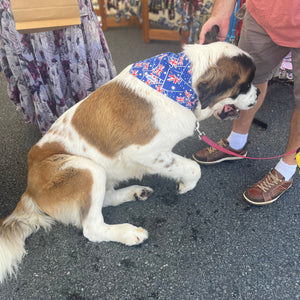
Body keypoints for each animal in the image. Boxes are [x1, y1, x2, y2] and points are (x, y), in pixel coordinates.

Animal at [0, 41, 258, 282]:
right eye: (245, 85)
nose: (257, 94)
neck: (181, 80)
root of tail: (29, 188)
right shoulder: (144, 152)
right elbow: (192, 167)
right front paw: (187, 184)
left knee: (105, 199)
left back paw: (135, 192)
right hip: (86, 168)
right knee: (92, 227)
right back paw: (128, 233)